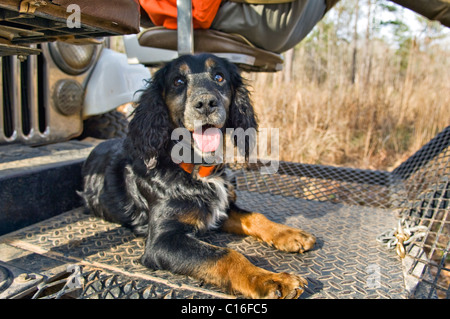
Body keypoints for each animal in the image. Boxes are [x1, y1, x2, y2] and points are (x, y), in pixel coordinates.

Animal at [80, 53, 312, 300]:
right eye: (178, 81)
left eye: (219, 77)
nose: (206, 104)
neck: (197, 170)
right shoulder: (163, 240)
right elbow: (226, 255)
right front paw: (272, 280)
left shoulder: (220, 209)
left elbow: (255, 216)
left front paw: (290, 234)